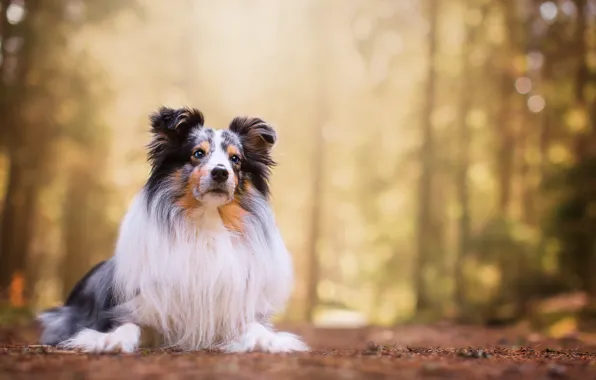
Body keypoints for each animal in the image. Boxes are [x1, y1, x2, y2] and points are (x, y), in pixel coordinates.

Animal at [37, 106, 310, 354]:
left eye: (236, 159)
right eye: (198, 153)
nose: (220, 172)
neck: (207, 221)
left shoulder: (230, 312)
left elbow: (255, 326)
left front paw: (267, 340)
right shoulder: (141, 307)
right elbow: (129, 325)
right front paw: (112, 340)